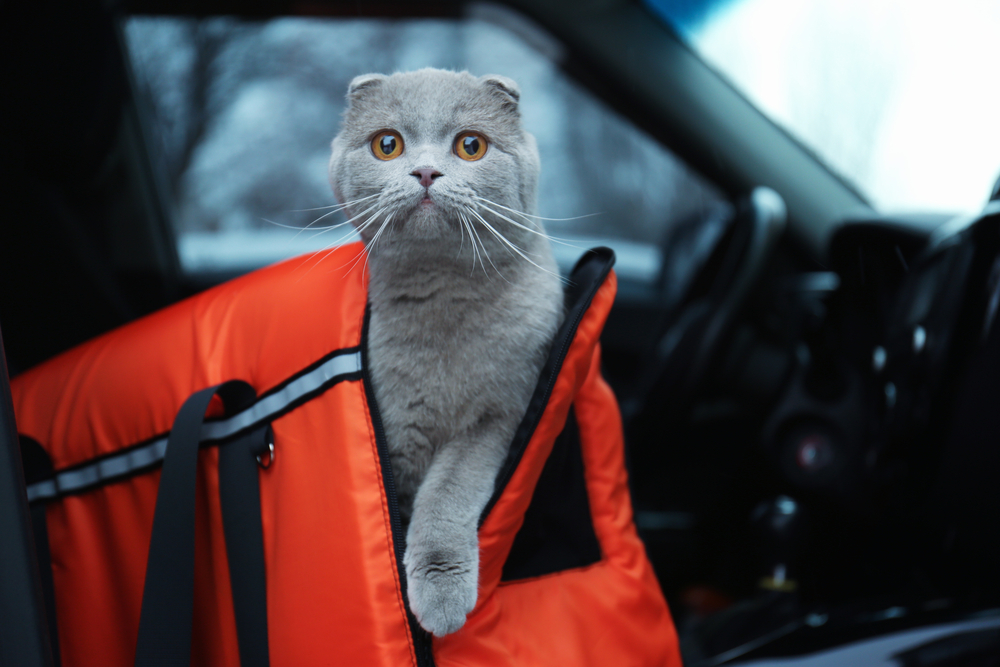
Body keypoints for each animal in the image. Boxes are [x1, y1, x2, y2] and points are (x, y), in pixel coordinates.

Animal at [326, 70, 564, 640]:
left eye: (470, 145)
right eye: (387, 144)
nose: (426, 171)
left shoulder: (499, 415)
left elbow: (447, 492)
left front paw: (439, 594)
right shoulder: (394, 430)